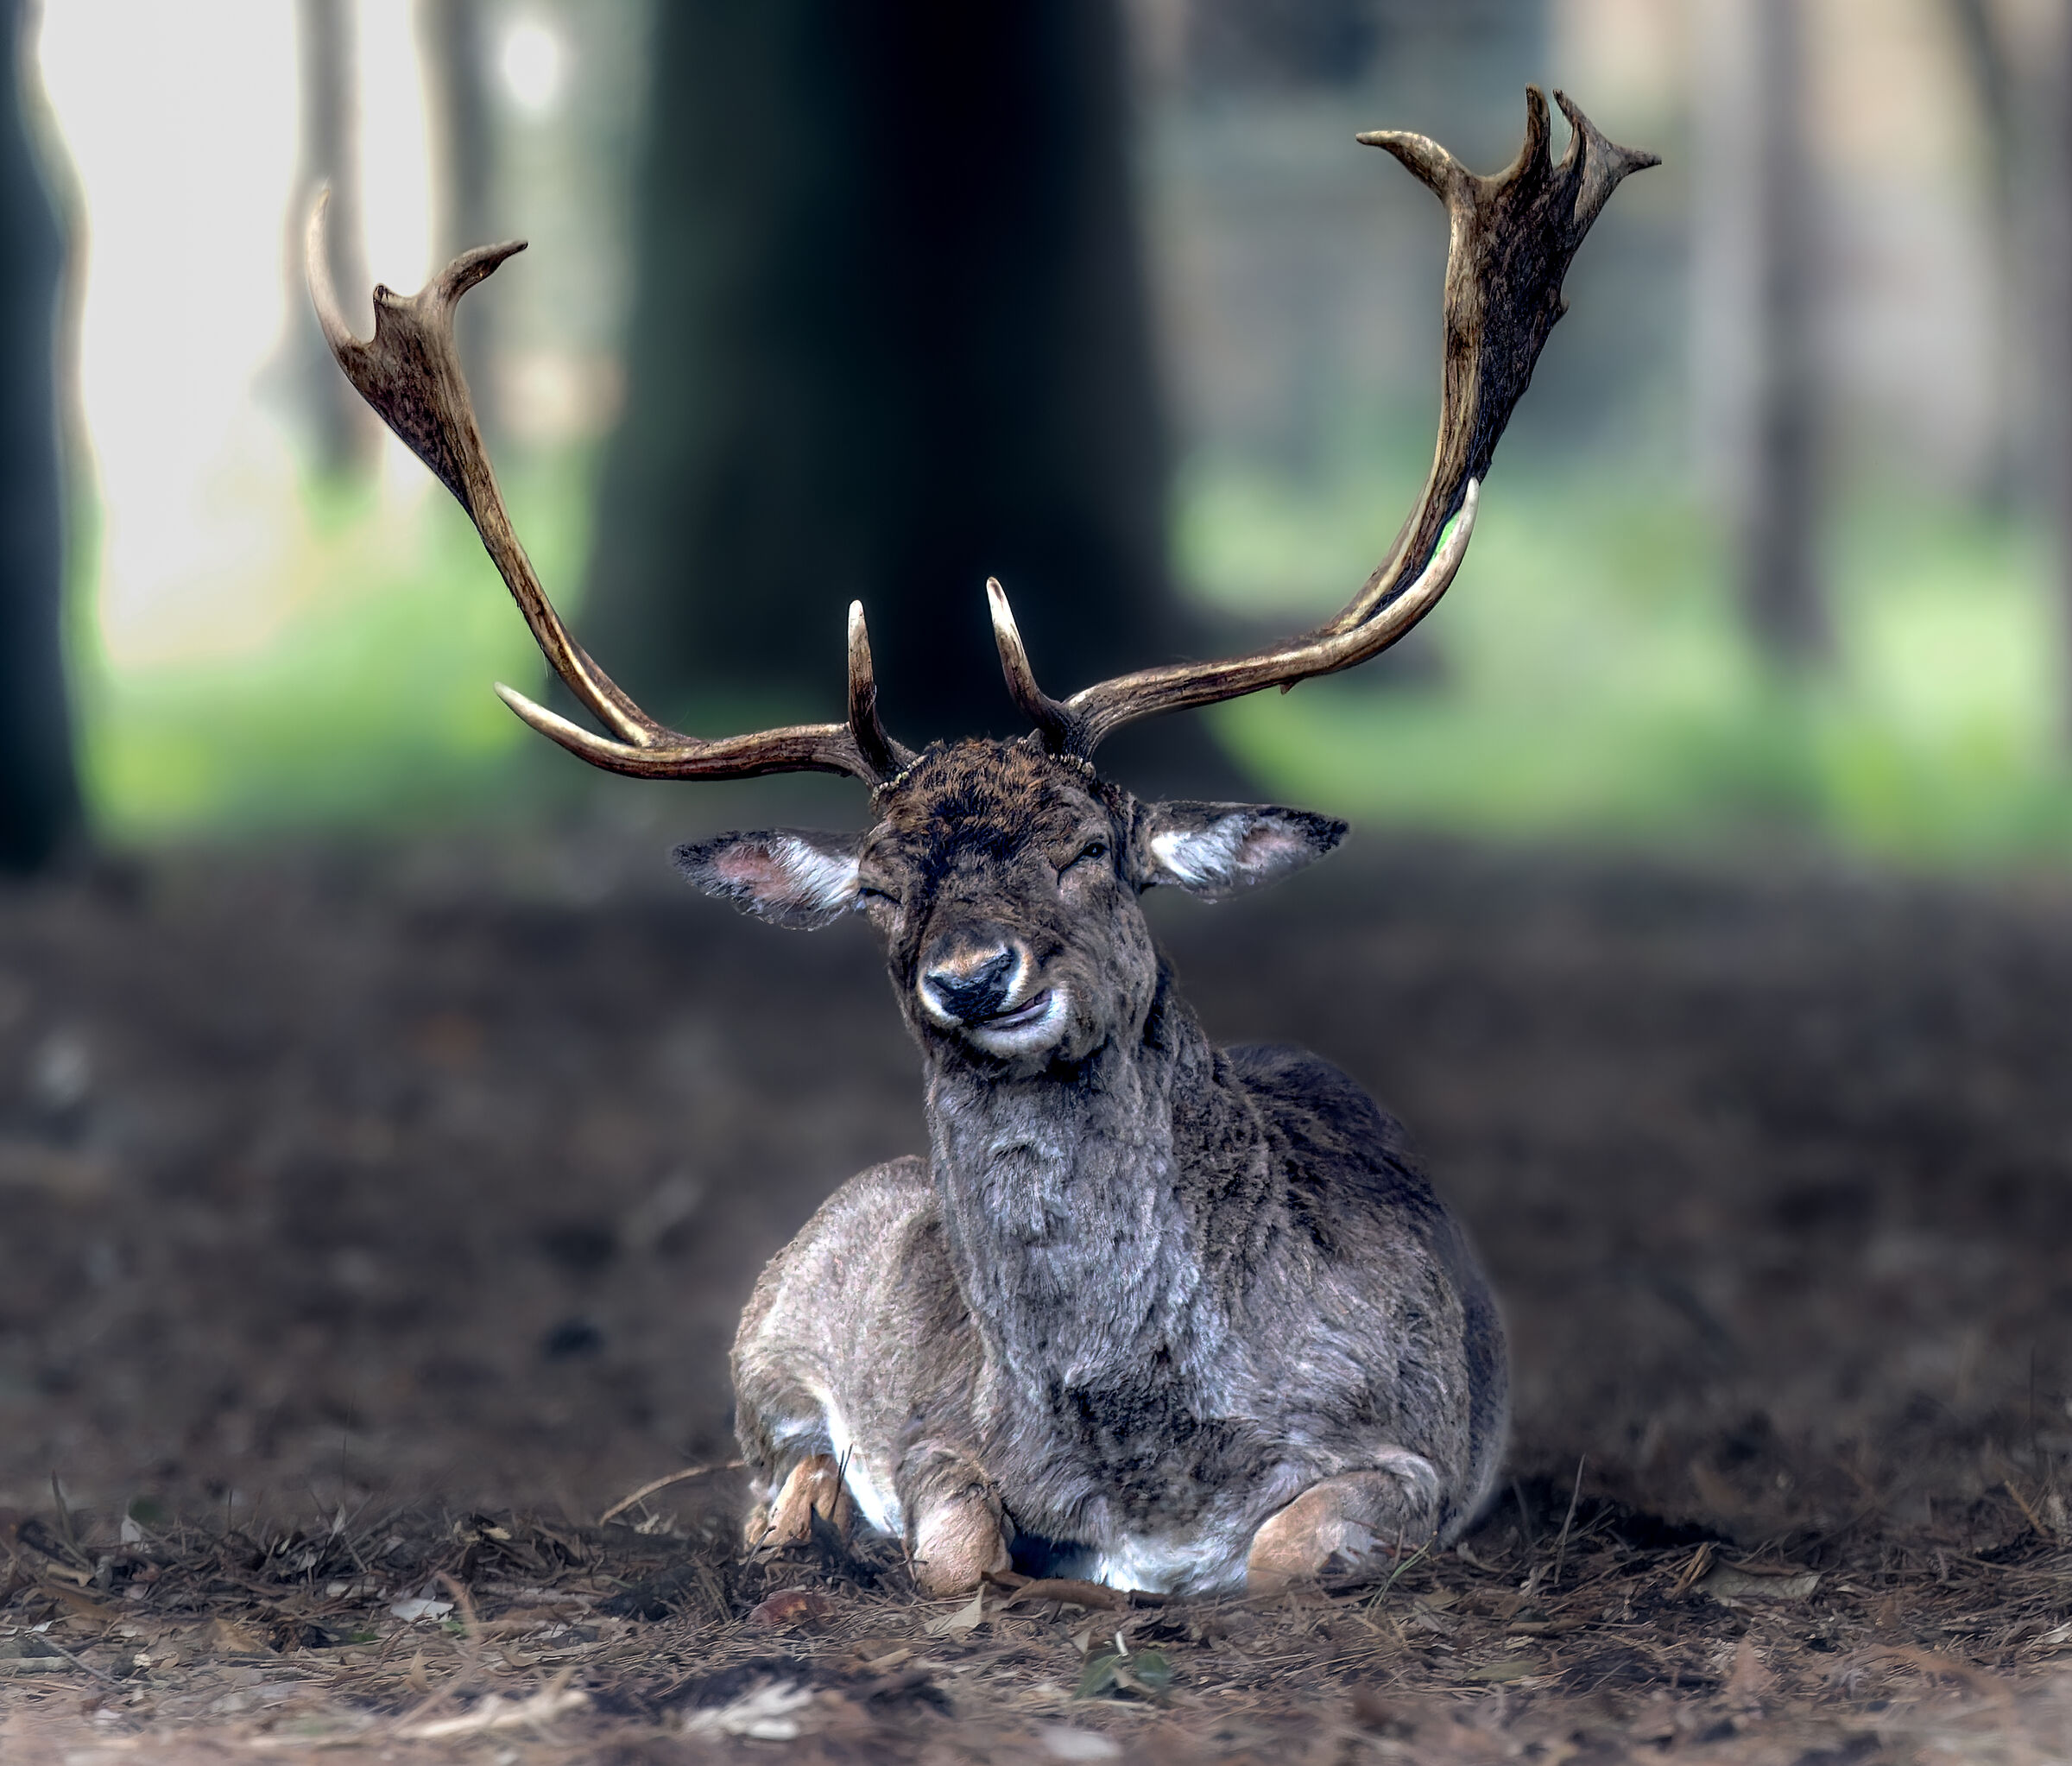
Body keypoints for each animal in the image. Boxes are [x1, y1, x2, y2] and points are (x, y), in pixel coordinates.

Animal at [308, 89, 1654, 1596]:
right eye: (880, 888)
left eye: (1091, 848)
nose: (972, 976)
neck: (1151, 1454)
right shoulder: (942, 1440)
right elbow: (957, 1542)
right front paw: (912, 1538)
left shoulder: (1414, 1448)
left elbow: (1287, 1551)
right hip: (766, 1328)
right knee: (758, 1472)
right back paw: (815, 1517)